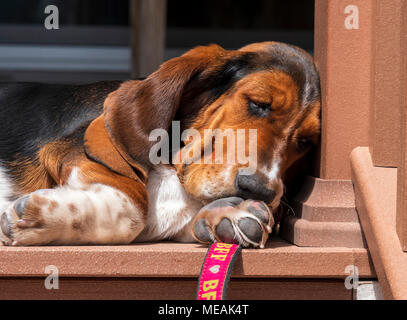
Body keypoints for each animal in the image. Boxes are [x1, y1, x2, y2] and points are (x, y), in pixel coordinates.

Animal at [0, 41, 320, 248]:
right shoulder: (68, 151)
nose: (259, 191)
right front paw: (41, 218)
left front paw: (230, 215)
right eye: (258, 103)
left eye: (306, 141)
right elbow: (134, 208)